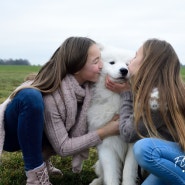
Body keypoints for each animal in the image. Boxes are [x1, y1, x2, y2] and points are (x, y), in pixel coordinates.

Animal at [87, 45, 138, 185]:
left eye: (127, 64)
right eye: (112, 63)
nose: (124, 70)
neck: (117, 99)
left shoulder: (133, 145)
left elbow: (128, 172)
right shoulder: (107, 146)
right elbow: (110, 175)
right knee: (102, 174)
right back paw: (96, 181)